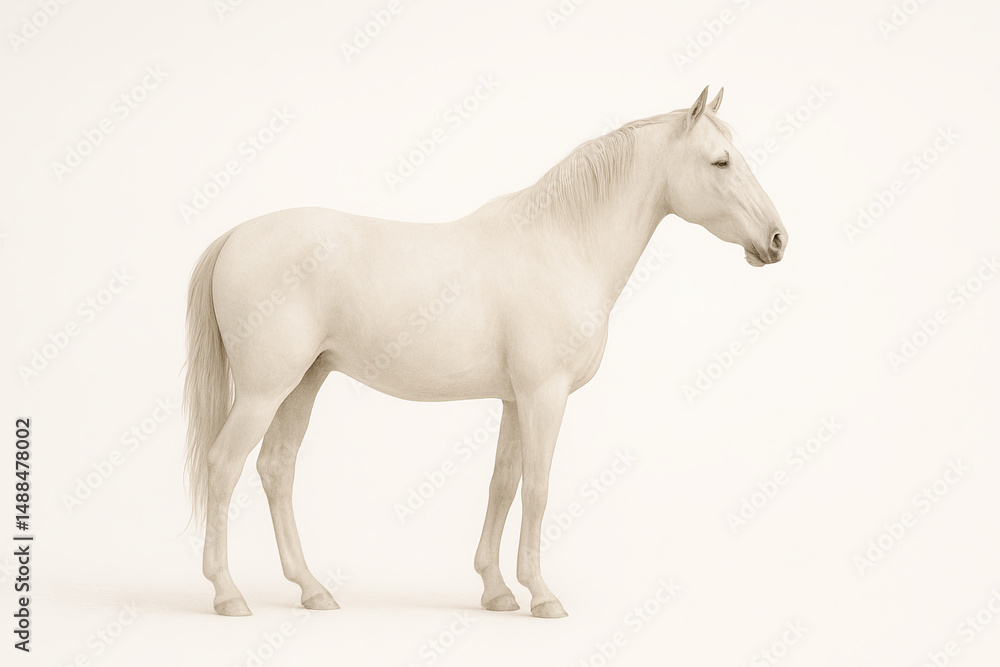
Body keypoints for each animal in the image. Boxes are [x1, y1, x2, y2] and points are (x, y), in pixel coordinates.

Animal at [183, 86, 787, 618]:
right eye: (721, 161)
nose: (778, 239)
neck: (562, 243)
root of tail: (236, 236)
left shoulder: (515, 400)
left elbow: (502, 485)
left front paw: (496, 591)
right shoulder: (544, 396)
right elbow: (538, 489)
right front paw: (541, 595)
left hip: (304, 382)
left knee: (276, 469)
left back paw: (312, 589)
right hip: (264, 390)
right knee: (223, 465)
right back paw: (227, 594)